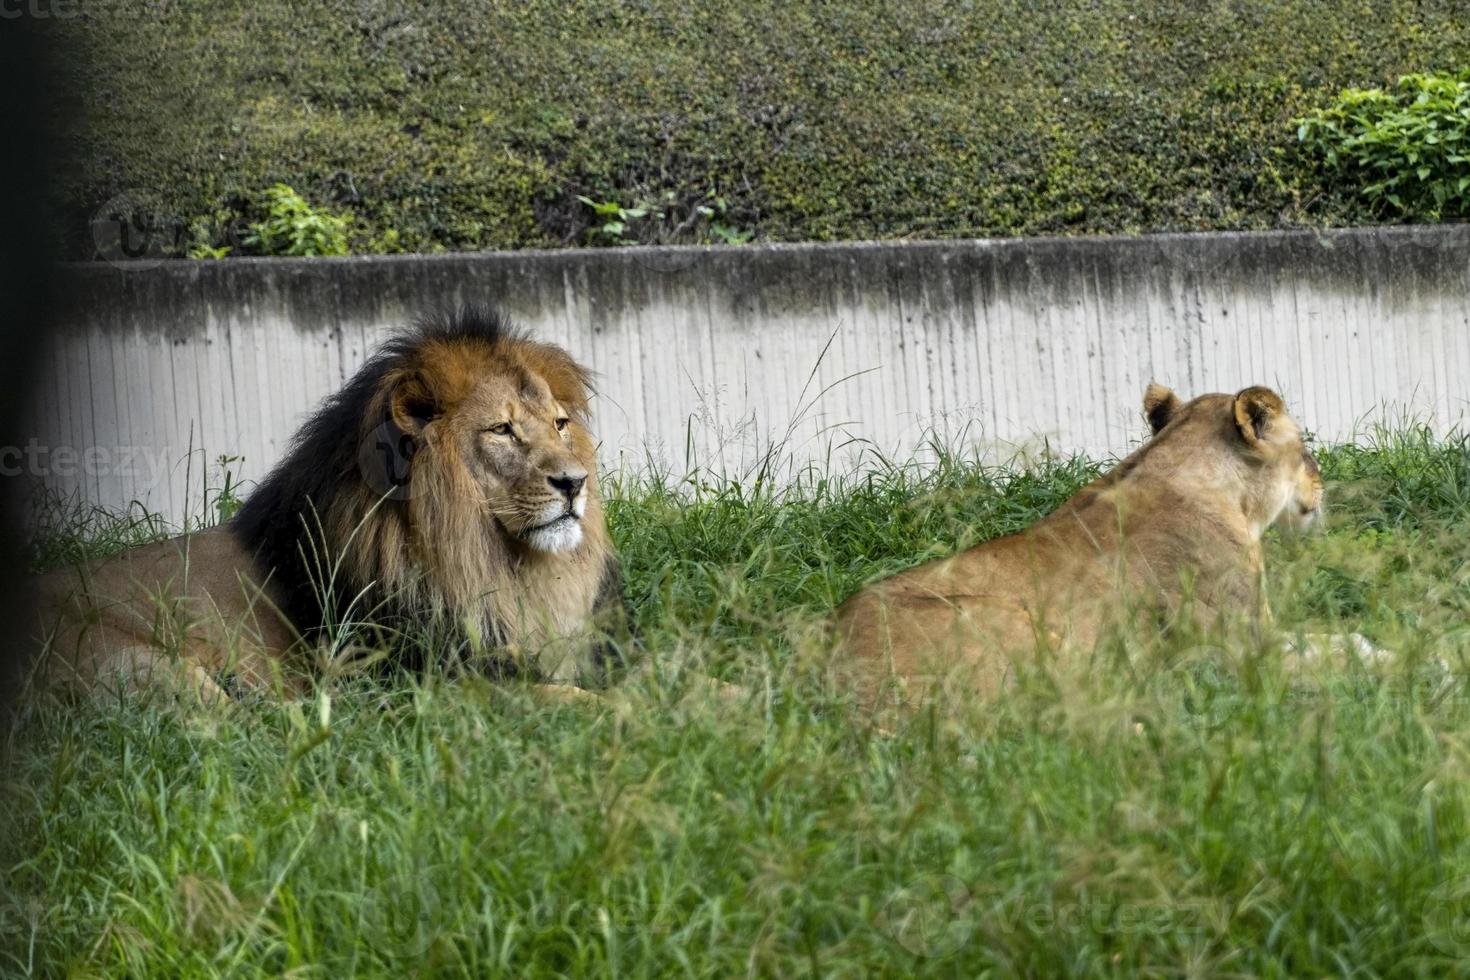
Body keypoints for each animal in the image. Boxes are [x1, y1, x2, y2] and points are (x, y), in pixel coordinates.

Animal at [33, 304, 620, 696]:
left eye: (559, 424)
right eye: (502, 430)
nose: (575, 483)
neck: (488, 562)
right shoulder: (417, 686)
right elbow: (571, 698)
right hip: (140, 665)